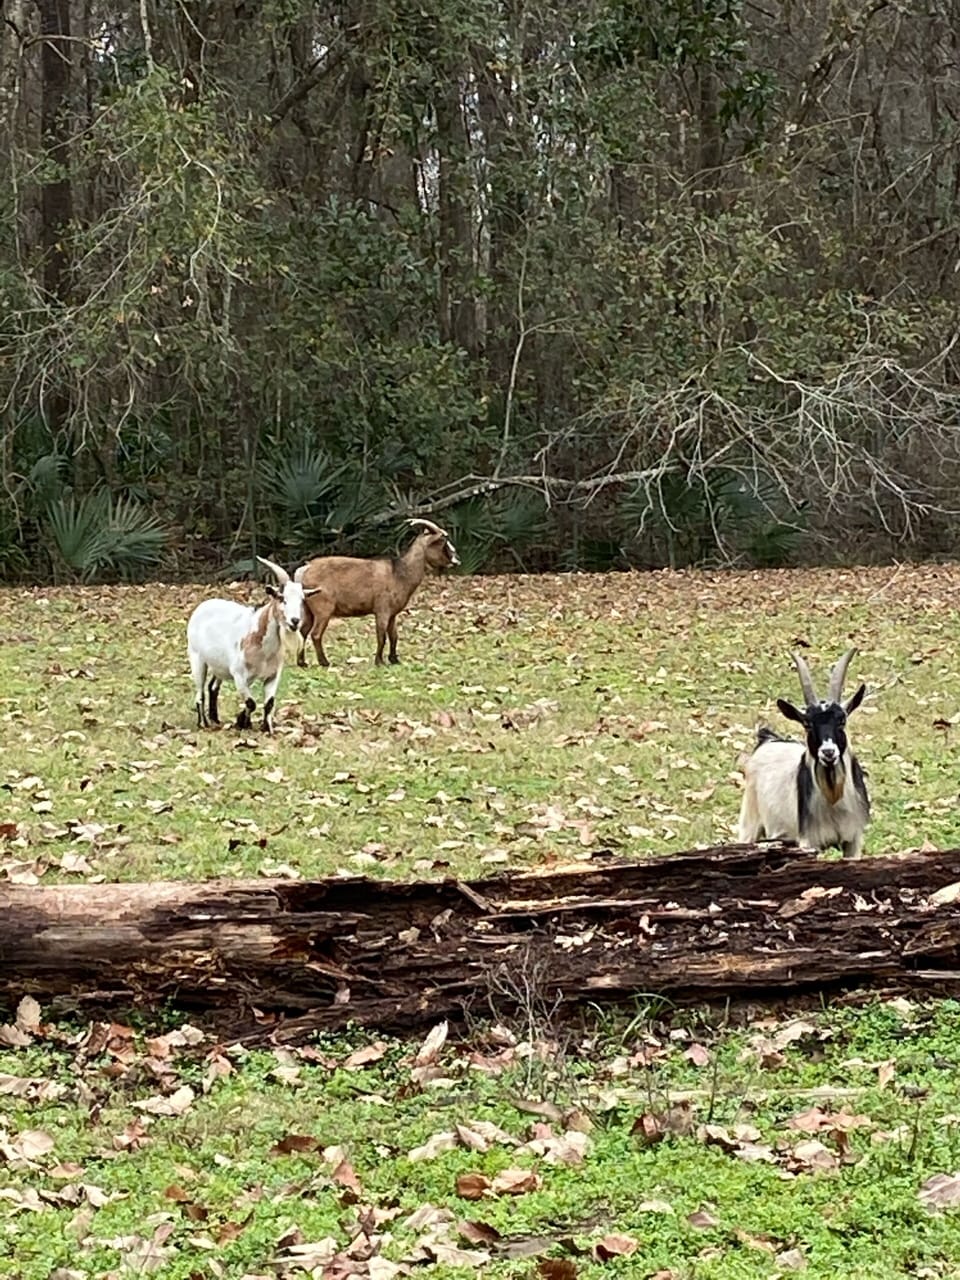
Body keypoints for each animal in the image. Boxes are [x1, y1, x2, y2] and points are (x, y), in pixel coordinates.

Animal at [187, 556, 318, 734]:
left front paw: (266, 727)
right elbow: (251, 703)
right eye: (281, 598)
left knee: (213, 687)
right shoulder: (239, 675)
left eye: (302, 600)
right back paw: (203, 723)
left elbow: (268, 703)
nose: (295, 621)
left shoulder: (272, 675)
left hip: (219, 666)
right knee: (200, 691)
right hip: (197, 659)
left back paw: (215, 719)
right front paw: (243, 723)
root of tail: (203, 605)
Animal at [293, 519, 460, 668]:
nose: (456, 560)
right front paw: (379, 661)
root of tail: (305, 569)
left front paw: (394, 660)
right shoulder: (382, 610)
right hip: (323, 609)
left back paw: (302, 662)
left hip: (308, 609)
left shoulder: (392, 614)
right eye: (442, 541)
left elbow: (394, 636)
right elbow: (382, 636)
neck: (399, 573)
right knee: (315, 634)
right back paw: (324, 662)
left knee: (303, 632)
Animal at [737, 648, 870, 858]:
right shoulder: (808, 841)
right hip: (750, 821)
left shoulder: (853, 839)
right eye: (807, 724)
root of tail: (767, 740)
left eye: (842, 720)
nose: (828, 752)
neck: (833, 803)